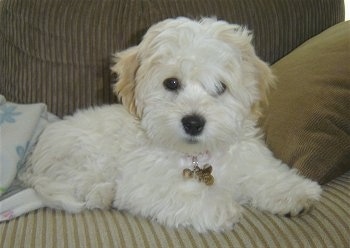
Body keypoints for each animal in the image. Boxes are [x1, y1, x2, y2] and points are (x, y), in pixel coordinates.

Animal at [19, 17, 322, 232]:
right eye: (171, 83)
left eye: (220, 87)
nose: (193, 122)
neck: (197, 156)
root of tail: (33, 161)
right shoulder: (143, 183)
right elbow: (180, 192)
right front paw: (219, 207)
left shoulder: (246, 158)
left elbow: (265, 173)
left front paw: (295, 192)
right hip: (83, 155)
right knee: (79, 183)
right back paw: (103, 193)